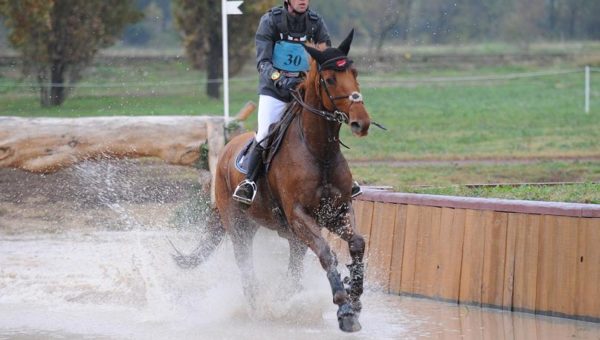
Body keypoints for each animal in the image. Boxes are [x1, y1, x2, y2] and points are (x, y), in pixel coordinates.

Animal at [175, 30, 370, 334]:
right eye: (329, 79)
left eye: (354, 73)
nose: (362, 123)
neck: (319, 153)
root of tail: (225, 152)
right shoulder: (299, 215)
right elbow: (327, 253)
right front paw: (344, 308)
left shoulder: (337, 211)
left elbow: (357, 244)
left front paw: (356, 298)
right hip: (239, 226)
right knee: (246, 267)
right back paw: (259, 308)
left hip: (286, 234)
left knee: (292, 270)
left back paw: (282, 300)